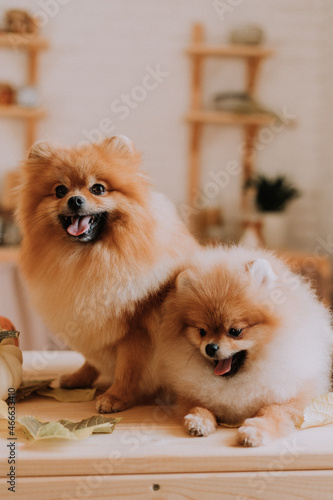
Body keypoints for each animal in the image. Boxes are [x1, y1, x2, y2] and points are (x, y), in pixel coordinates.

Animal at [153, 246, 332, 446]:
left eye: (235, 331)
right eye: (202, 331)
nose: (210, 348)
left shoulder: (291, 400)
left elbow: (271, 412)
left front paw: (254, 431)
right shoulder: (192, 396)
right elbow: (199, 405)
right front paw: (199, 421)